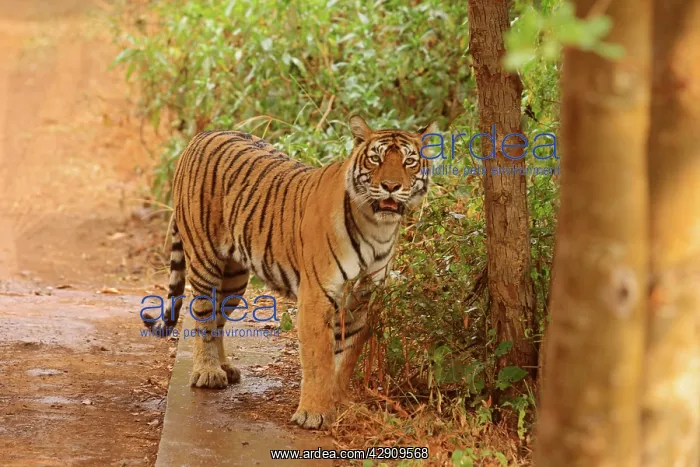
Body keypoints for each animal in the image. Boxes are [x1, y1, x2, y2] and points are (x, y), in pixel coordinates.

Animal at [143, 116, 435, 429]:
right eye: (375, 159)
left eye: (408, 162)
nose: (391, 186)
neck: (377, 226)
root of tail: (202, 134)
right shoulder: (317, 296)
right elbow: (319, 359)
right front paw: (313, 414)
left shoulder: (363, 299)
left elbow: (346, 357)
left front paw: (340, 403)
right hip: (204, 258)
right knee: (204, 316)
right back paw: (208, 372)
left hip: (233, 279)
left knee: (219, 317)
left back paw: (225, 367)